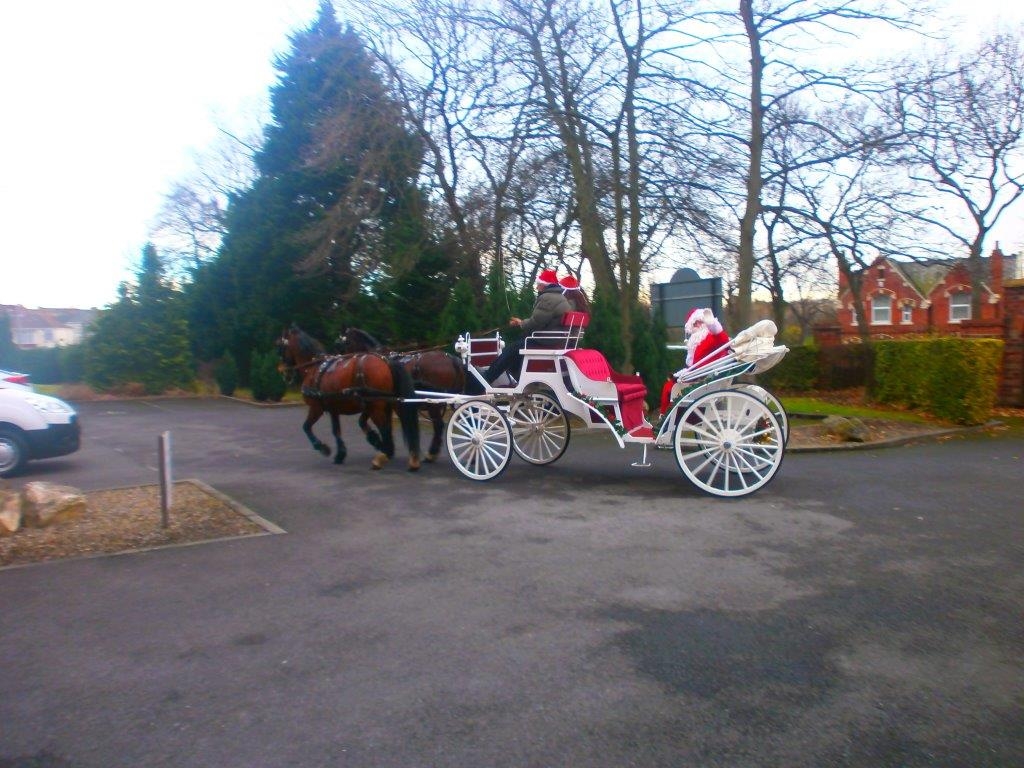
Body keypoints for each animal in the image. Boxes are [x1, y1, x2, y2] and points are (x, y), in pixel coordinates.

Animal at [276, 323, 419, 468]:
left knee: (385, 428)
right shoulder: (333, 408)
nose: (284, 373)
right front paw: (341, 454)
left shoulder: (317, 408)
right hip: (386, 403)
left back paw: (384, 456)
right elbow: (336, 430)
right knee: (393, 427)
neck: (313, 368)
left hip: (376, 405)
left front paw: (322, 447)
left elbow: (306, 427)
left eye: (280, 347)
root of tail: (386, 361)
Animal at [337, 325, 466, 462]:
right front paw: (386, 447)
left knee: (438, 425)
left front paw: (379, 443)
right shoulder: (383, 402)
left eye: (345, 342)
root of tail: (451, 359)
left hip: (433, 403)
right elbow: (377, 423)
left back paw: (431, 453)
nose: (342, 365)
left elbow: (366, 422)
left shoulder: (376, 400)